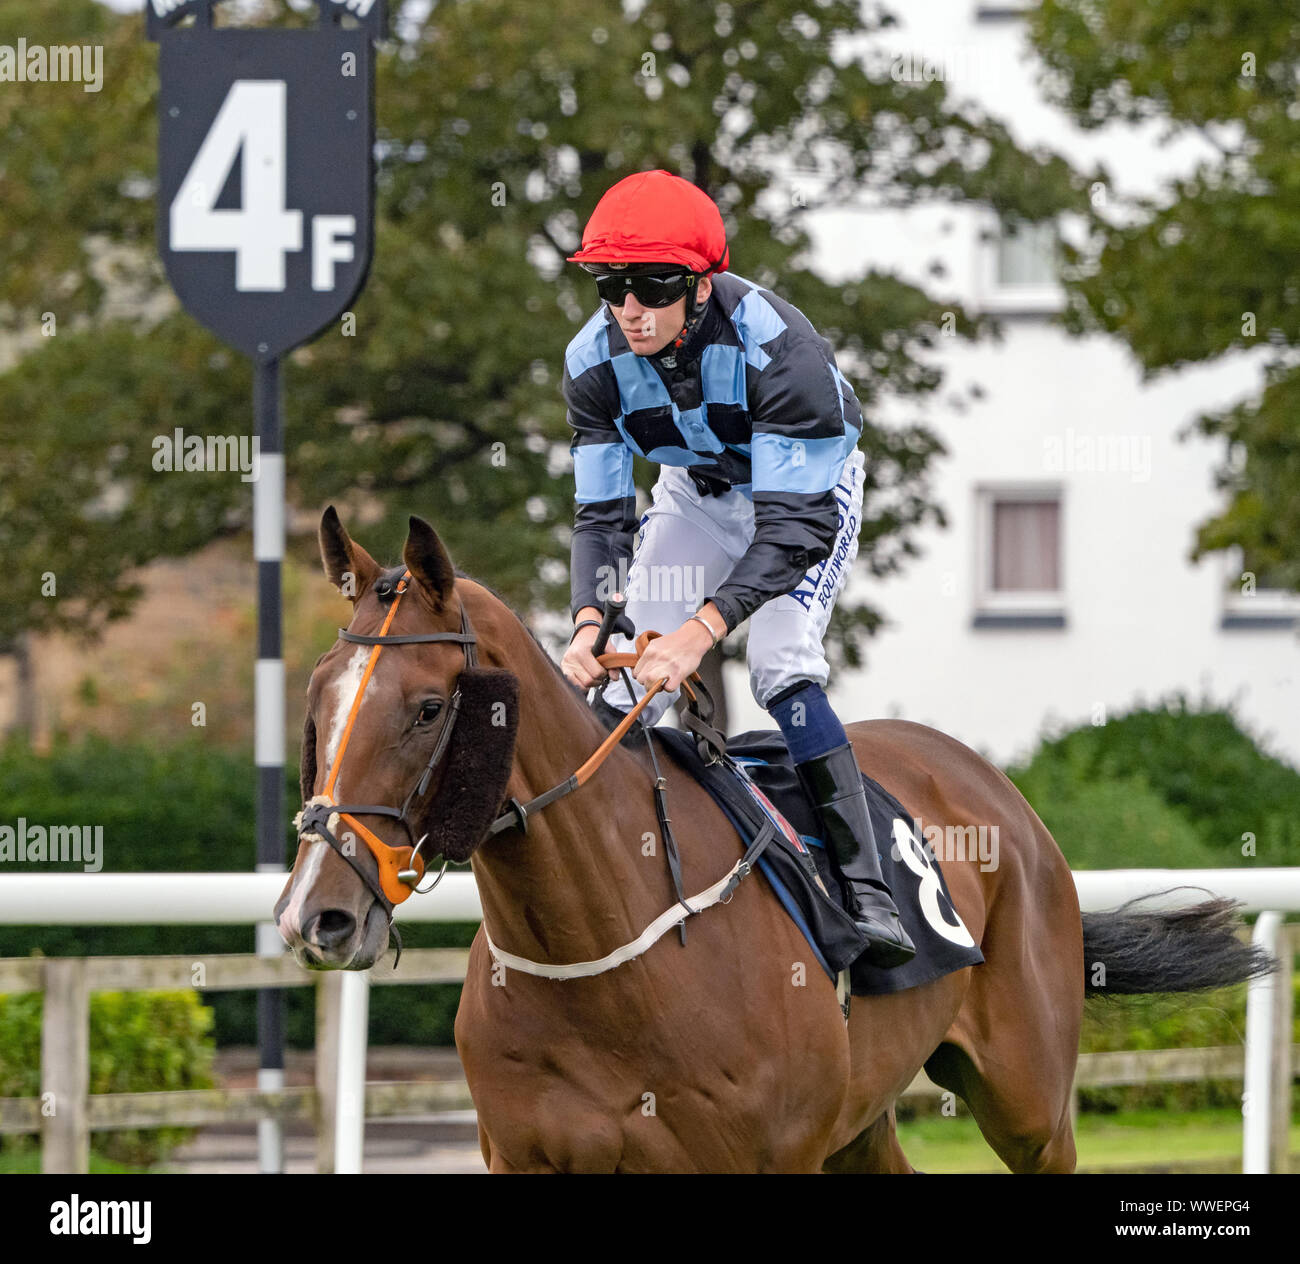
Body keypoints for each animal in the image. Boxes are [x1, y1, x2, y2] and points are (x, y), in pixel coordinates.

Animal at [276, 507, 1268, 1175]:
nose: (313, 916)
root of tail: (994, 787)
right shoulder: (526, 1156)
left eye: (427, 708)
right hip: (863, 1117)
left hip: (1030, 1099)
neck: (604, 958)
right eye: (316, 699)